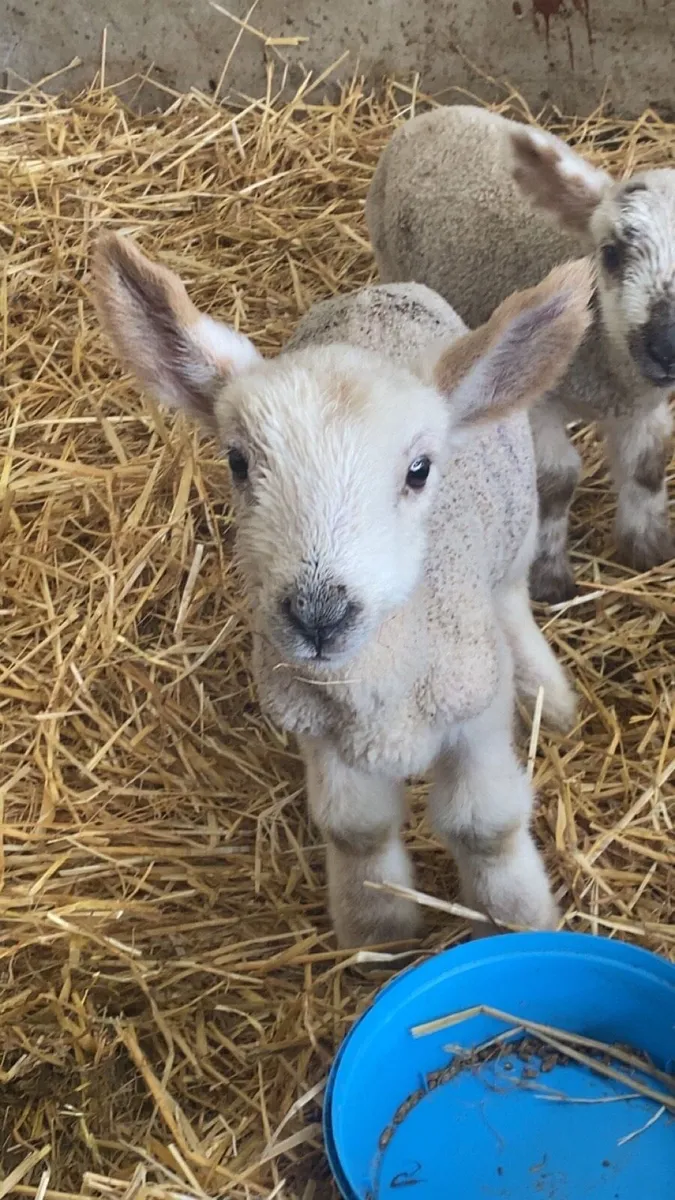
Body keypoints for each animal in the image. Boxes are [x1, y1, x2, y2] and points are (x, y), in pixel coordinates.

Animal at [93, 232, 592, 947]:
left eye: (419, 470)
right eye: (237, 461)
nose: (318, 616)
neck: (376, 695)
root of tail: (382, 293)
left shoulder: (474, 709)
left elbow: (485, 826)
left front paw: (521, 920)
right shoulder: (315, 724)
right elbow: (358, 832)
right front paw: (378, 934)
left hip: (513, 538)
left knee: (511, 601)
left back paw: (545, 691)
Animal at [366, 104, 675, 604]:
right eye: (609, 254)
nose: (667, 346)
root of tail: (432, 113)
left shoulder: (642, 405)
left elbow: (647, 463)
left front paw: (648, 549)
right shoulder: (536, 398)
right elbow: (554, 481)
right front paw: (548, 579)